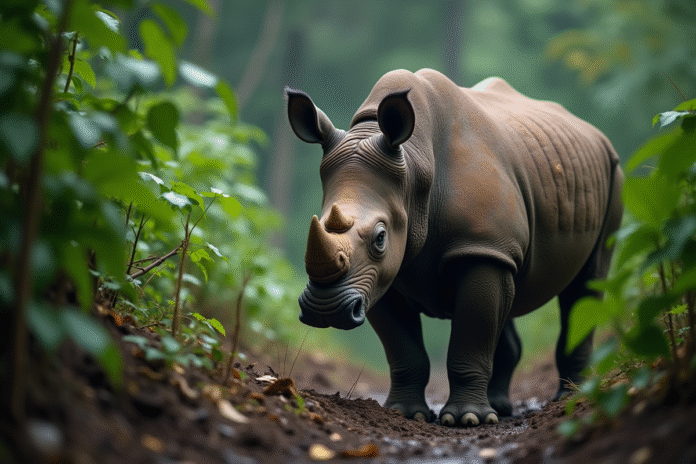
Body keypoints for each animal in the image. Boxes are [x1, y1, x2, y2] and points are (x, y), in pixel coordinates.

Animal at [286, 68, 623, 427]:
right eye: (318, 224)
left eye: (380, 237)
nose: (326, 309)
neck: (414, 166)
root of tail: (594, 132)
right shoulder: (376, 277)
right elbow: (403, 348)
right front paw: (405, 413)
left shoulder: (480, 246)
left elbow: (470, 336)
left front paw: (467, 419)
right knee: (509, 292)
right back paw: (501, 406)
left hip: (612, 171)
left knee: (586, 283)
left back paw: (570, 398)